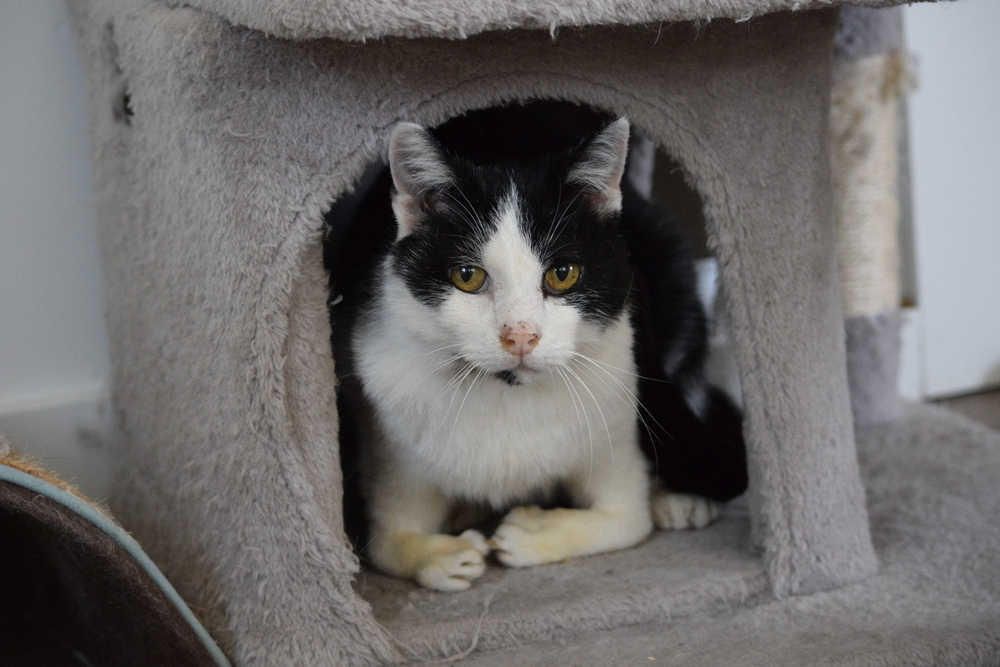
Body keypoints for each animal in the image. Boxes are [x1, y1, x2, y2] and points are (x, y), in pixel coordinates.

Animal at [324, 102, 748, 592]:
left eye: (562, 273)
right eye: (467, 276)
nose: (521, 335)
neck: (508, 396)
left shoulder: (616, 417)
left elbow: (627, 521)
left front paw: (534, 533)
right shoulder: (387, 434)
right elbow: (384, 543)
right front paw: (442, 555)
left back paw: (681, 499)